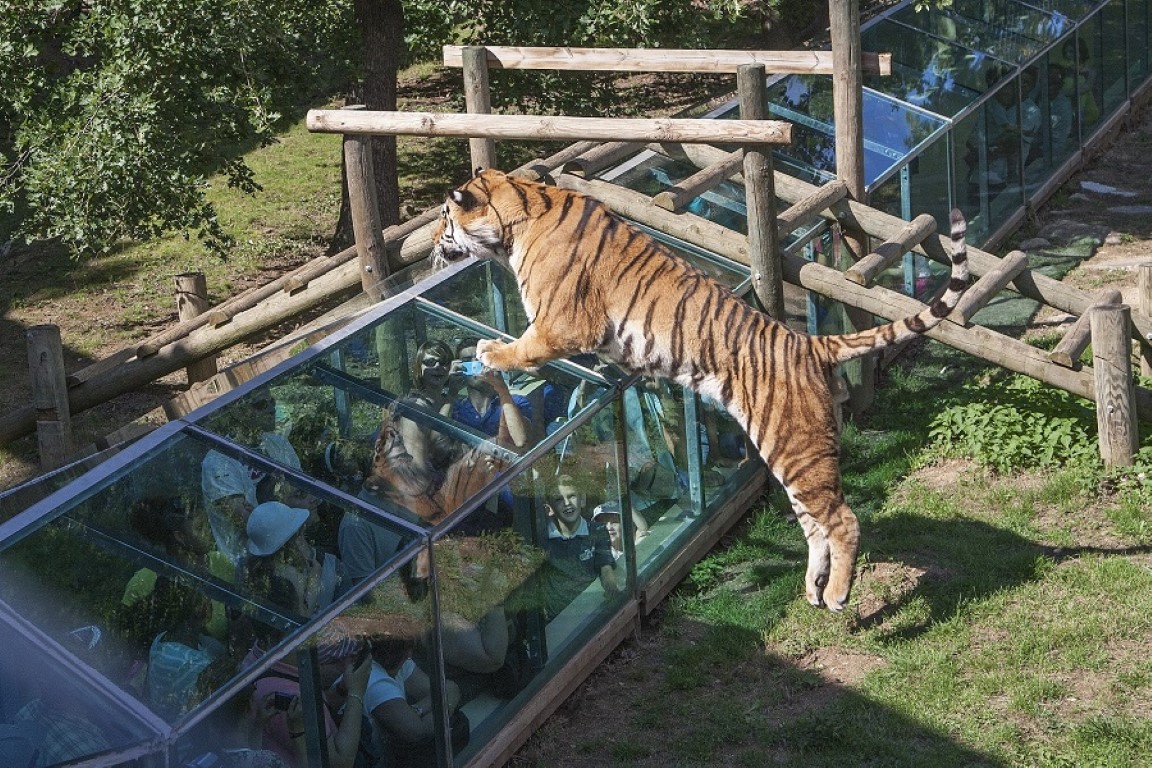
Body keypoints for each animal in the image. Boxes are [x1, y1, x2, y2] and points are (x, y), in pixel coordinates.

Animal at [430, 168, 969, 612]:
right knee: (815, 524)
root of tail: (808, 341)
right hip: (796, 455)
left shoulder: (561, 324)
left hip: (794, 444)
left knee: (843, 520)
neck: (518, 215)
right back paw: (813, 589)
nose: (435, 242)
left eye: (444, 218)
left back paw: (836, 595)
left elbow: (523, 349)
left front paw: (488, 352)